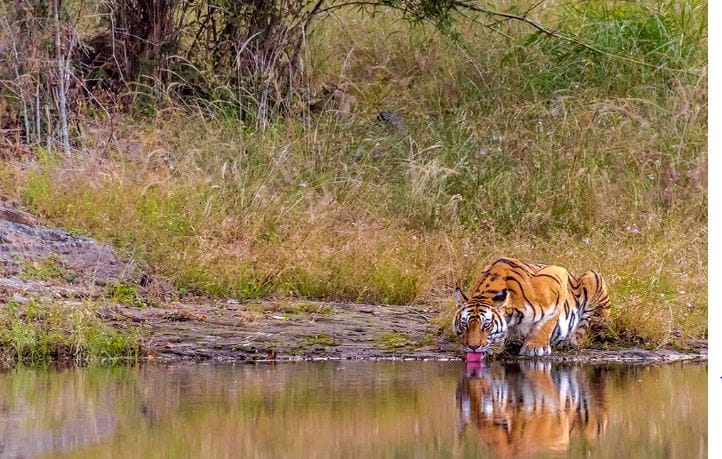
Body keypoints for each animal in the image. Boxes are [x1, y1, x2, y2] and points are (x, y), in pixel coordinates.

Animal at [450, 256, 608, 358]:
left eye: (486, 325)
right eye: (464, 325)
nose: (473, 347)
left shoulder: (558, 275)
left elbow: (547, 323)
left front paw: (535, 347)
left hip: (593, 277)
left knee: (584, 328)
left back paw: (569, 341)